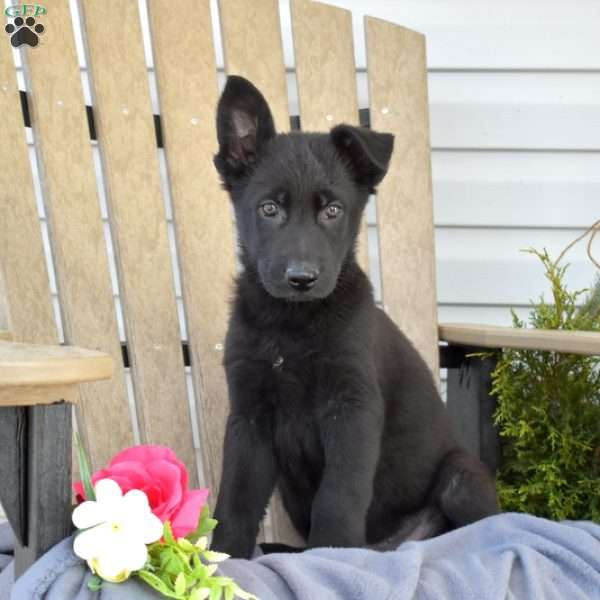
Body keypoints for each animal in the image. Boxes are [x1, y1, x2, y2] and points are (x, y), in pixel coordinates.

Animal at [209, 77, 500, 560]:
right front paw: (223, 556)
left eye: (332, 211)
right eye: (269, 209)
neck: (291, 324)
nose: (301, 278)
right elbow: (235, 498)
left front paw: (333, 556)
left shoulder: (352, 409)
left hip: (462, 477)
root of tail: (387, 546)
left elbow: (339, 494)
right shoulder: (249, 416)